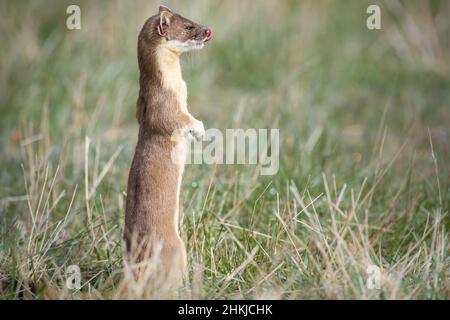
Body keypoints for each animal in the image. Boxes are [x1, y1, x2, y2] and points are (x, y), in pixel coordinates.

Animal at [125, 5, 213, 282]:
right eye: (188, 26)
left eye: (190, 18)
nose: (208, 30)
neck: (179, 86)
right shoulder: (162, 102)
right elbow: (173, 119)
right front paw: (200, 131)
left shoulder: (140, 104)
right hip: (175, 245)